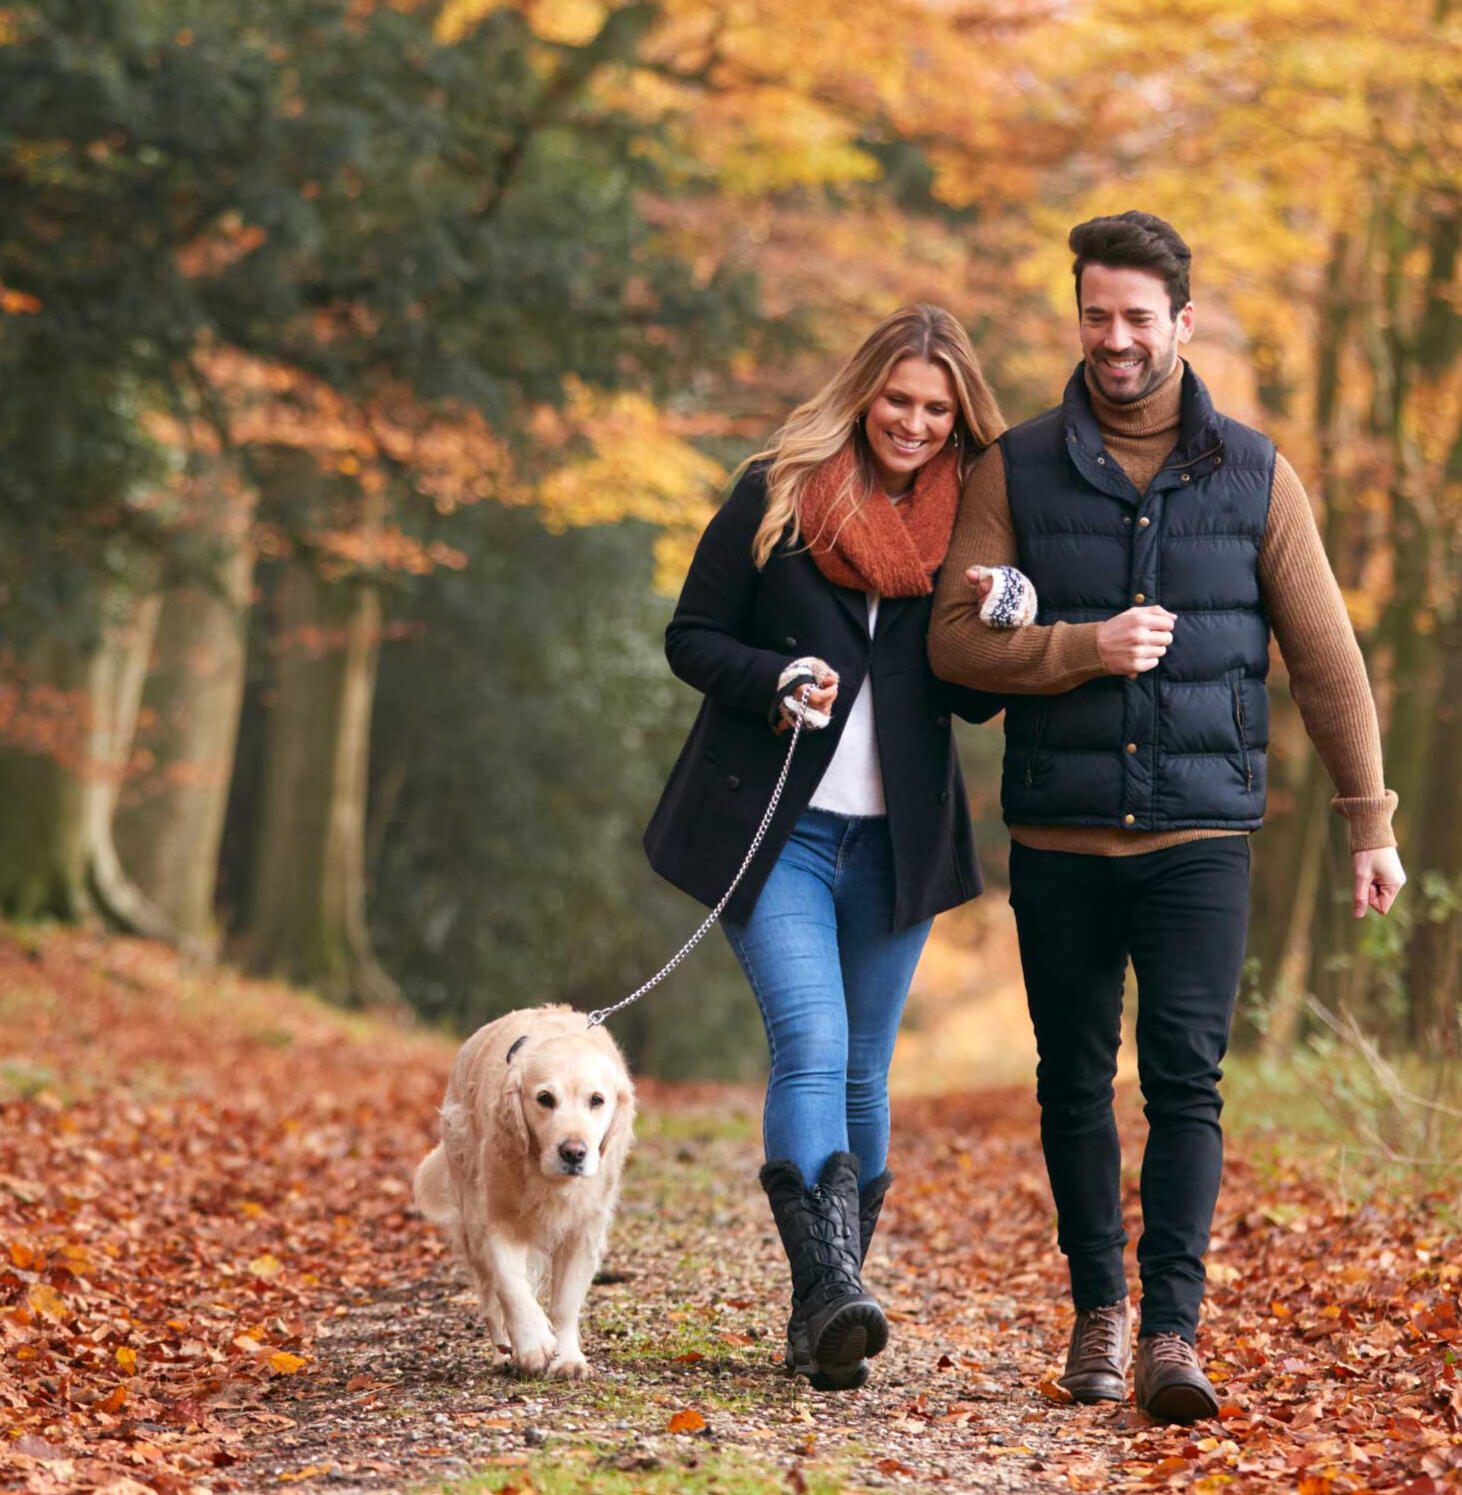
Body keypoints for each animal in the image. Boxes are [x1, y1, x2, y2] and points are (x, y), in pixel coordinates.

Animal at [412, 1004, 636, 1375]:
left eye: (597, 1100)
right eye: (545, 1098)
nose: (574, 1152)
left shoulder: (583, 1230)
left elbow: (564, 1303)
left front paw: (568, 1359)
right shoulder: (495, 1219)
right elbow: (511, 1285)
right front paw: (533, 1345)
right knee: (491, 1299)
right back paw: (505, 1352)